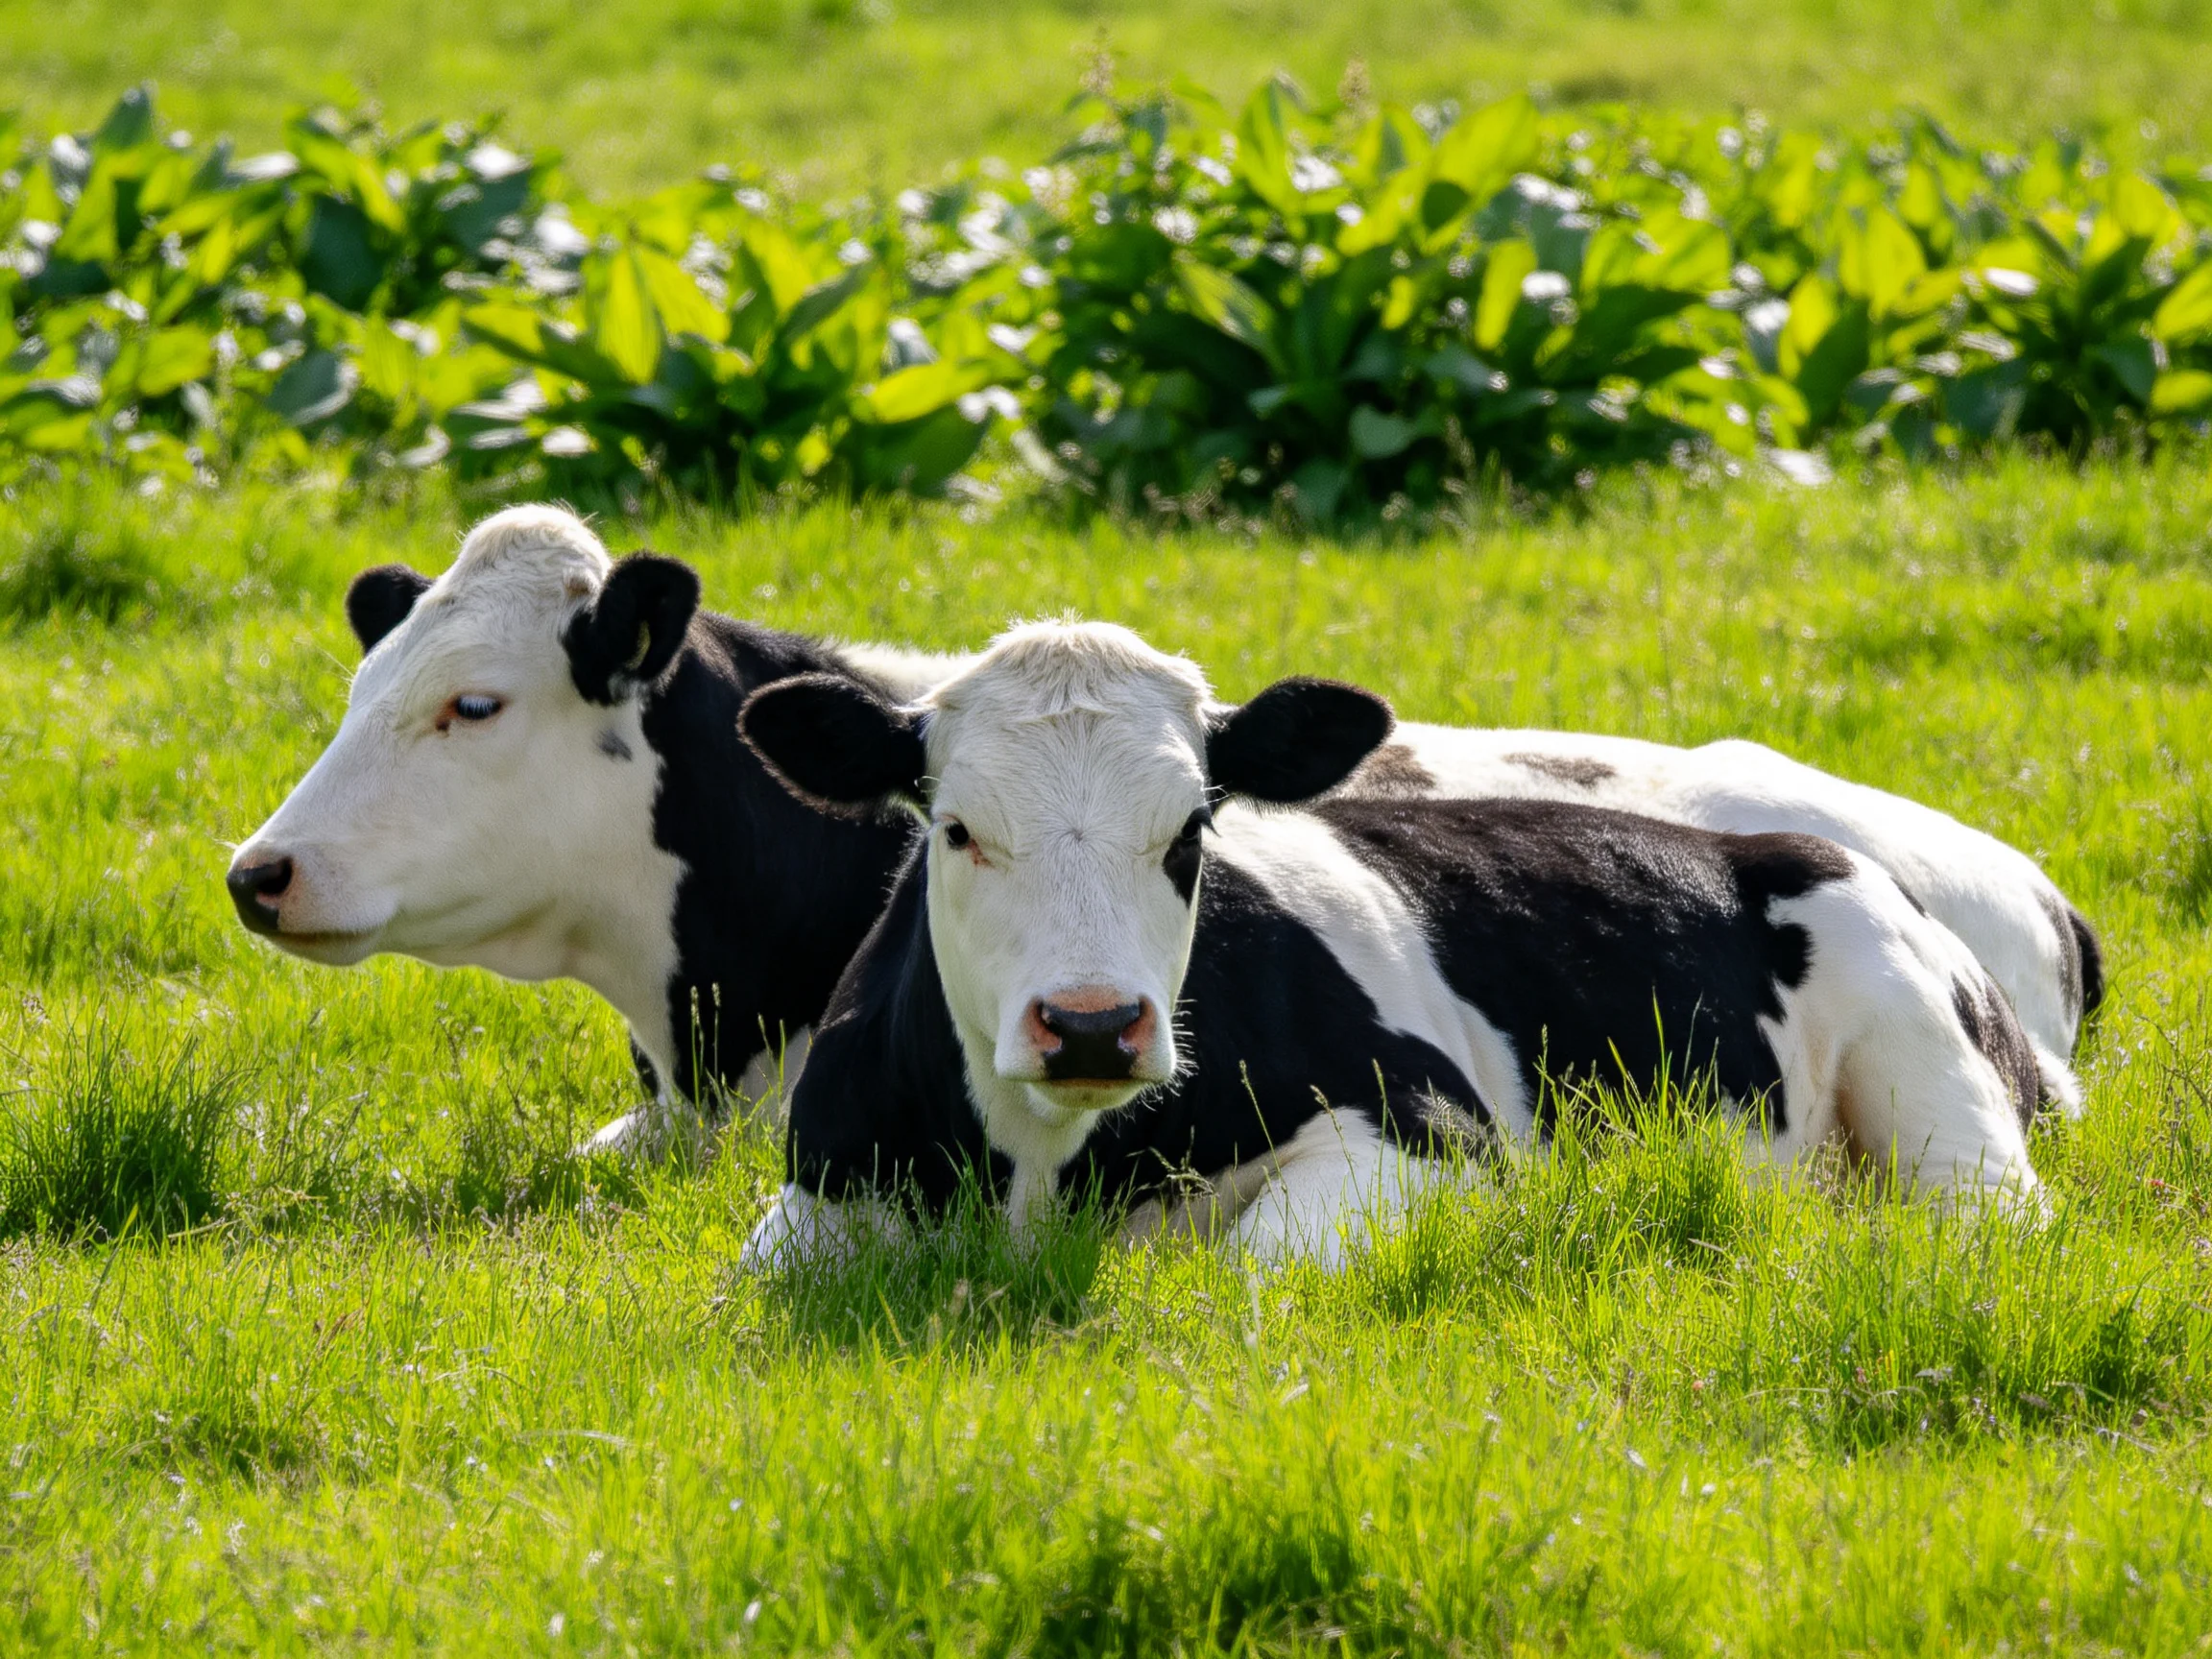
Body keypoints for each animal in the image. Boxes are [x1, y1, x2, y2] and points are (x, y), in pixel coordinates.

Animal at [737, 621, 2058, 1266]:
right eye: (955, 829)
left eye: (1192, 828)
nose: (1093, 1025)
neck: (1041, 1169)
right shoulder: (821, 1177)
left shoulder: (1434, 1127)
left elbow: (1262, 1265)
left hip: (1935, 1088)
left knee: (1984, 1213)